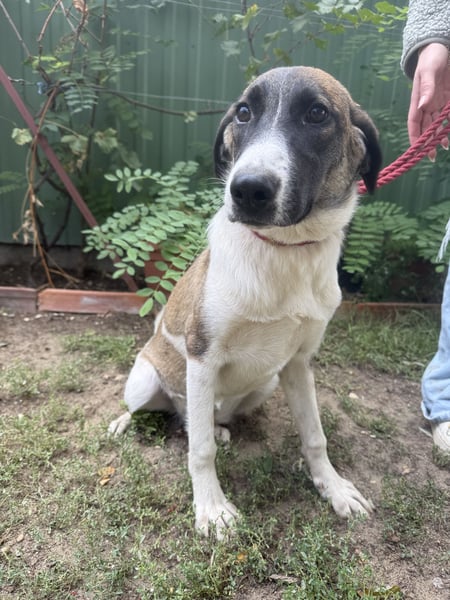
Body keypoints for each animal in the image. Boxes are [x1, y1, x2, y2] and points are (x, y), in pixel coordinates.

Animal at [108, 66, 382, 538]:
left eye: (317, 113)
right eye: (243, 112)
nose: (248, 190)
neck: (285, 250)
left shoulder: (299, 363)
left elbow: (315, 436)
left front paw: (332, 487)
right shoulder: (201, 356)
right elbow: (199, 452)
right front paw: (212, 508)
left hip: (265, 383)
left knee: (201, 419)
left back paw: (215, 426)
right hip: (146, 380)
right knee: (155, 412)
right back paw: (125, 421)